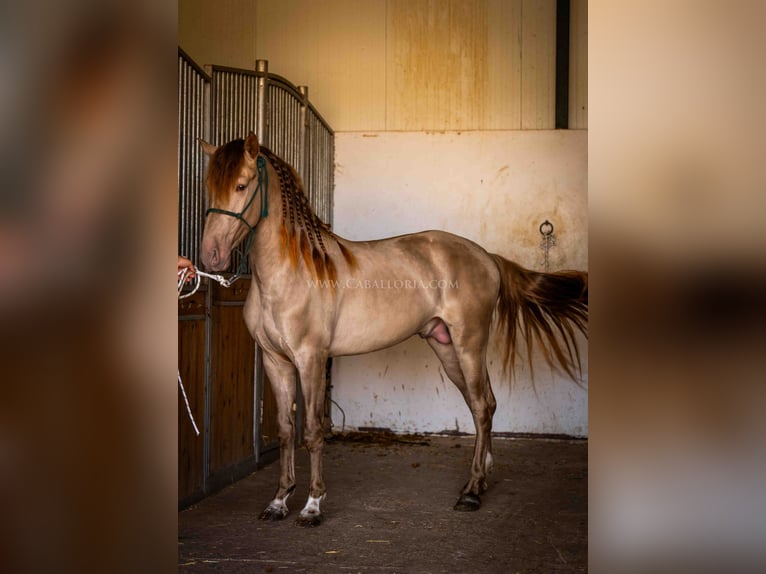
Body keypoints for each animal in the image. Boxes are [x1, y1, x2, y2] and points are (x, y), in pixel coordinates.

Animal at [198, 133, 588, 528]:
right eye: (209, 187)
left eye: (241, 185)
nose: (211, 256)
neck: (292, 272)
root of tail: (487, 257)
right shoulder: (276, 361)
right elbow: (285, 430)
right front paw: (278, 501)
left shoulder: (311, 359)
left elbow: (312, 431)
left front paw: (312, 505)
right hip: (446, 348)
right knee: (484, 405)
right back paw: (482, 477)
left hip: (470, 344)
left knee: (481, 406)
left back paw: (471, 492)